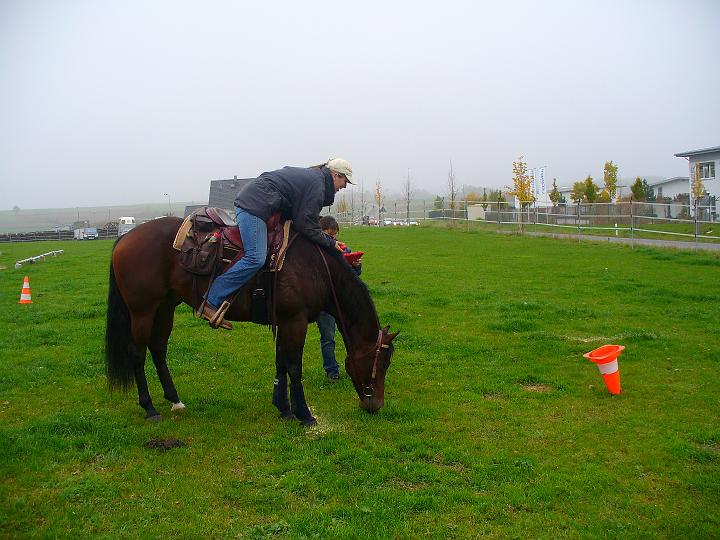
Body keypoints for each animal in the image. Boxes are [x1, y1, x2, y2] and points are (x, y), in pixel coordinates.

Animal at [105, 216, 398, 425]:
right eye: (382, 363)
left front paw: (284, 408)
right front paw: (304, 415)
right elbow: (294, 367)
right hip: (143, 310)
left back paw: (175, 400)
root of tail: (125, 238)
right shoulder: (295, 320)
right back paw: (150, 407)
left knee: (158, 348)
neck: (316, 268)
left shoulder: (284, 321)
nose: (376, 405)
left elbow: (281, 363)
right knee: (137, 353)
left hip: (165, 307)